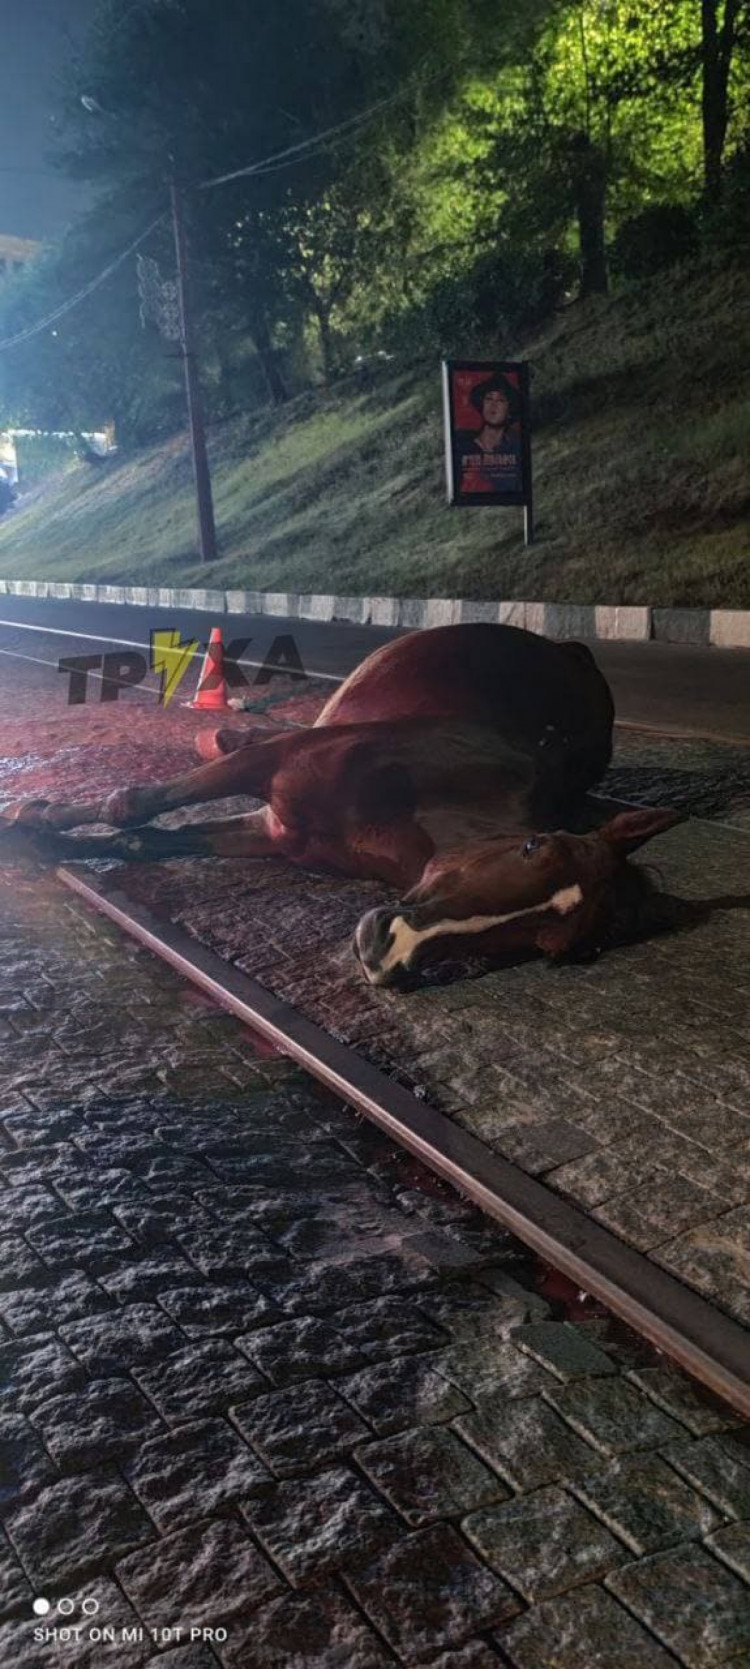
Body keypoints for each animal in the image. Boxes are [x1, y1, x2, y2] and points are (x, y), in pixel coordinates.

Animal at [2, 627, 678, 988]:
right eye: (535, 845)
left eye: (555, 950)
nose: (388, 951)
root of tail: (569, 648)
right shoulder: (274, 770)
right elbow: (131, 807)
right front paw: (28, 820)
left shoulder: (274, 832)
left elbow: (140, 836)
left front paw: (43, 836)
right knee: (231, 743)